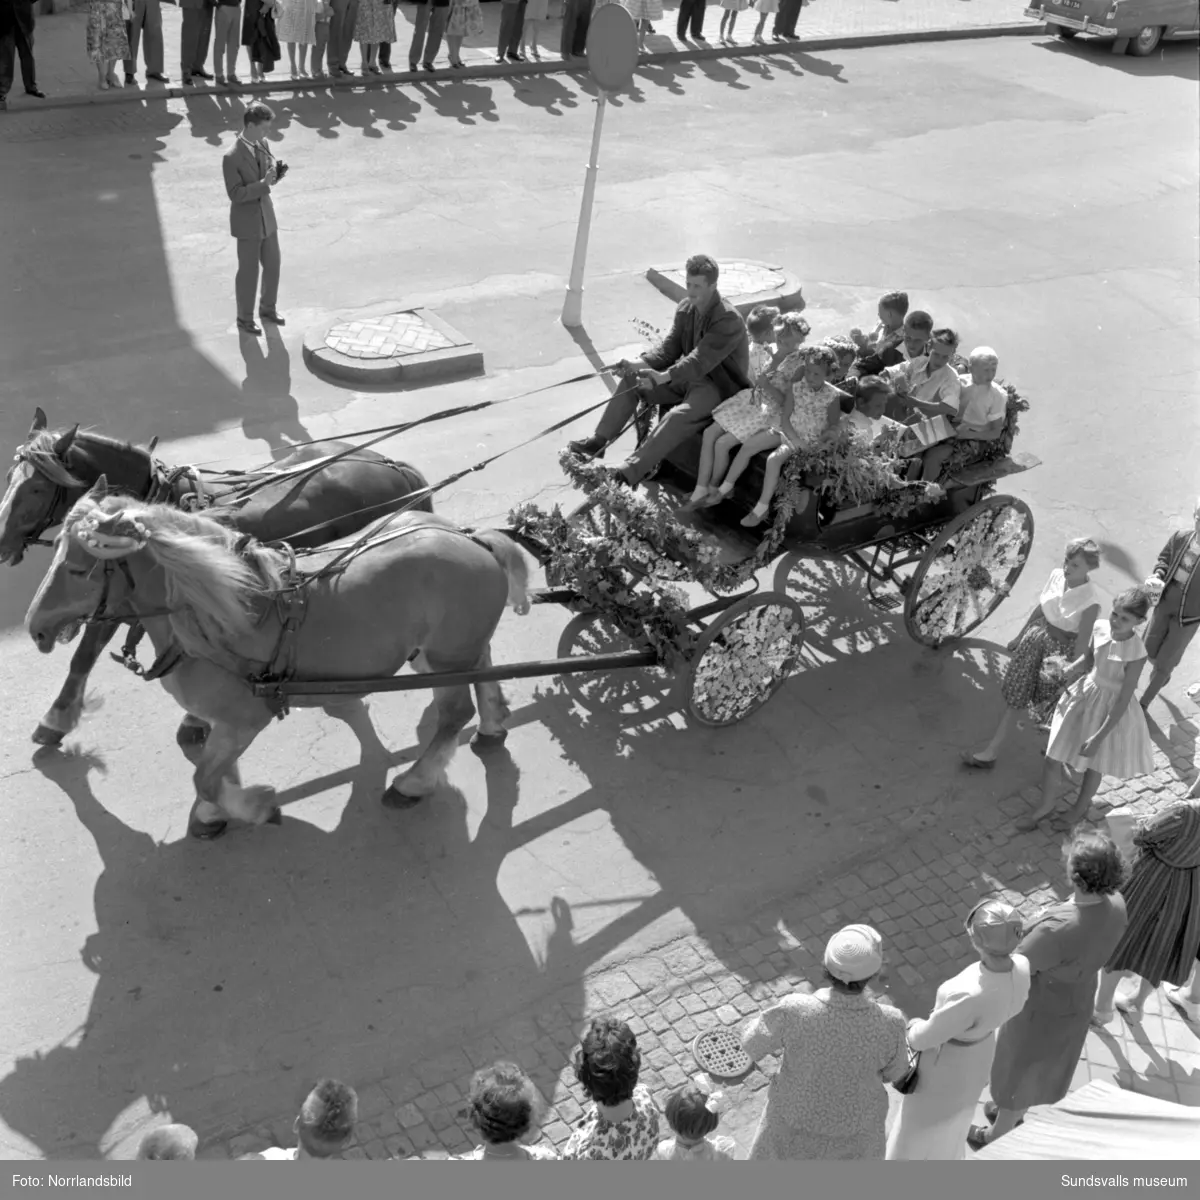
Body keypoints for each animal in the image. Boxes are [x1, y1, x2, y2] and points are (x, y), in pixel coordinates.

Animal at [0, 412, 432, 748]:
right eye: (9, 476)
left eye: (36, 486)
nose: (1, 542)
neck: (152, 503)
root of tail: (394, 466)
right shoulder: (118, 595)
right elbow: (84, 655)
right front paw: (55, 720)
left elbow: (89, 651)